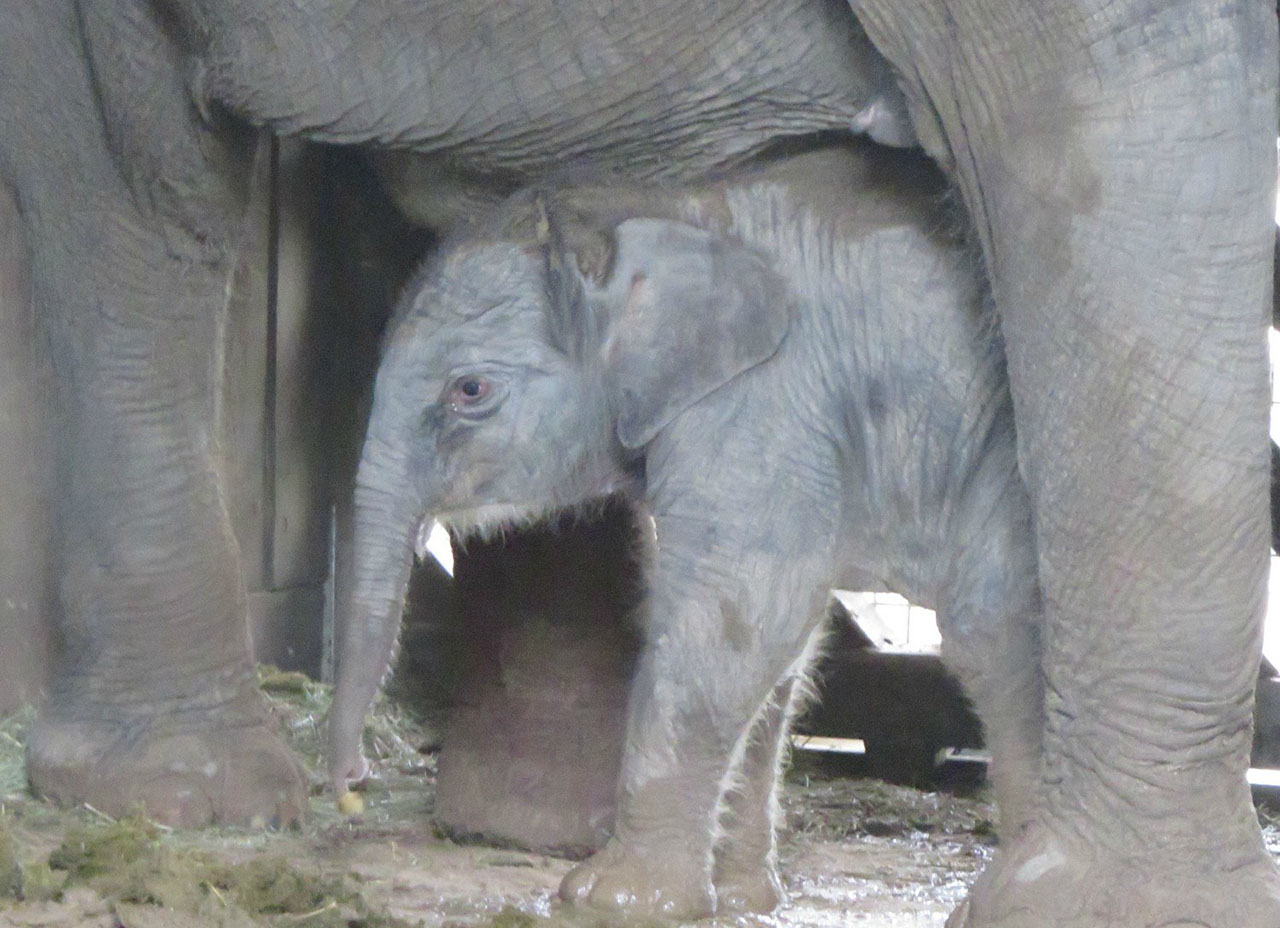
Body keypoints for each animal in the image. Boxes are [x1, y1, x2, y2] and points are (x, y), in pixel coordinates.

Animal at [330, 146, 1039, 921]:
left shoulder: (767, 402)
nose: (352, 779)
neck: (672, 206)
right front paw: (739, 898)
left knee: (990, 629)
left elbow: (738, 613)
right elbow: (779, 649)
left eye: (470, 391)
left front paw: (610, 899)